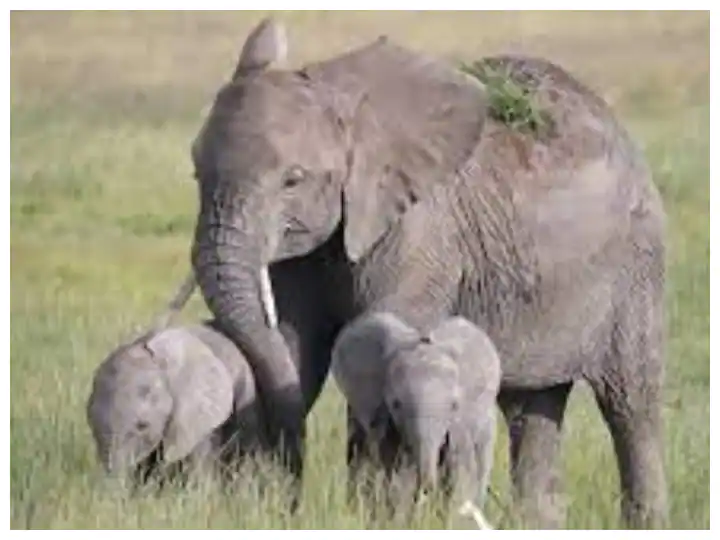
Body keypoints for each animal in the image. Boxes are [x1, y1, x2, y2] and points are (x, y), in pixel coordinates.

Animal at [332, 312, 500, 528]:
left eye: (454, 406)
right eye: (396, 404)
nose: (427, 486)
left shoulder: (461, 424)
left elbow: (456, 470)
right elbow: (393, 466)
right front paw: (396, 521)